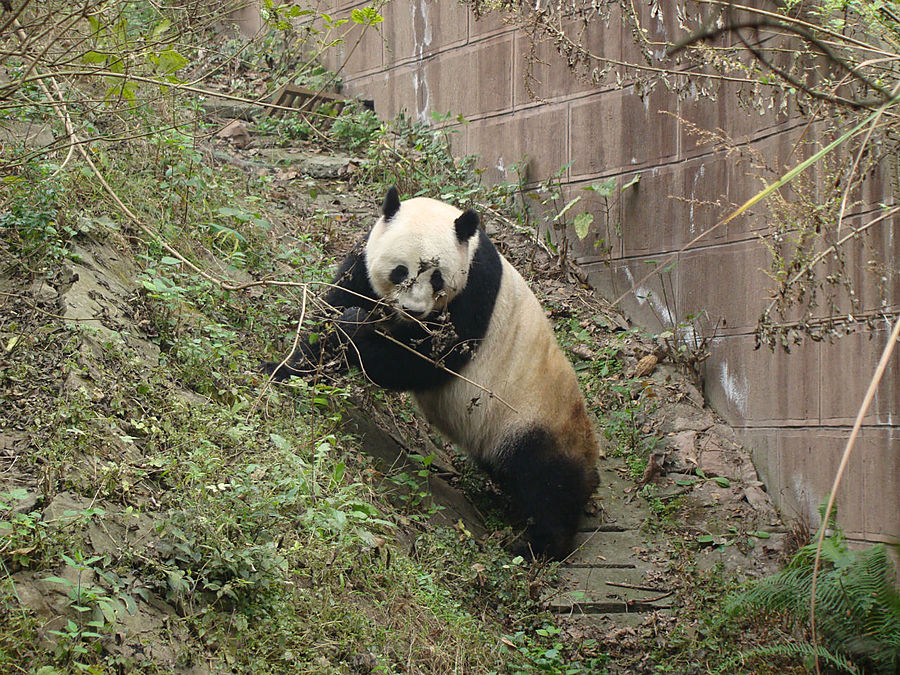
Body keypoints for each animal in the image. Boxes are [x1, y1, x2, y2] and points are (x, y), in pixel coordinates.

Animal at [268, 186, 604, 560]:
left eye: (438, 277)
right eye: (400, 271)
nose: (414, 310)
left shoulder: (474, 292)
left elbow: (426, 363)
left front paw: (355, 328)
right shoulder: (365, 263)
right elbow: (333, 309)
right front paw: (289, 369)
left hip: (536, 415)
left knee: (546, 483)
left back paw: (540, 545)